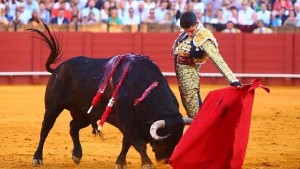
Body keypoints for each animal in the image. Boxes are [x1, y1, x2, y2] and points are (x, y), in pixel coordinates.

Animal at [29, 22, 191, 169]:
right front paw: (147, 163)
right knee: (45, 129)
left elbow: (126, 143)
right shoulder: (127, 120)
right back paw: (37, 158)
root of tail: (59, 68)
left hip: (86, 113)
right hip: (53, 107)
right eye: (162, 141)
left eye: (178, 140)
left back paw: (77, 155)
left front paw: (120, 162)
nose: (164, 160)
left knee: (73, 127)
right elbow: (137, 142)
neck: (145, 88)